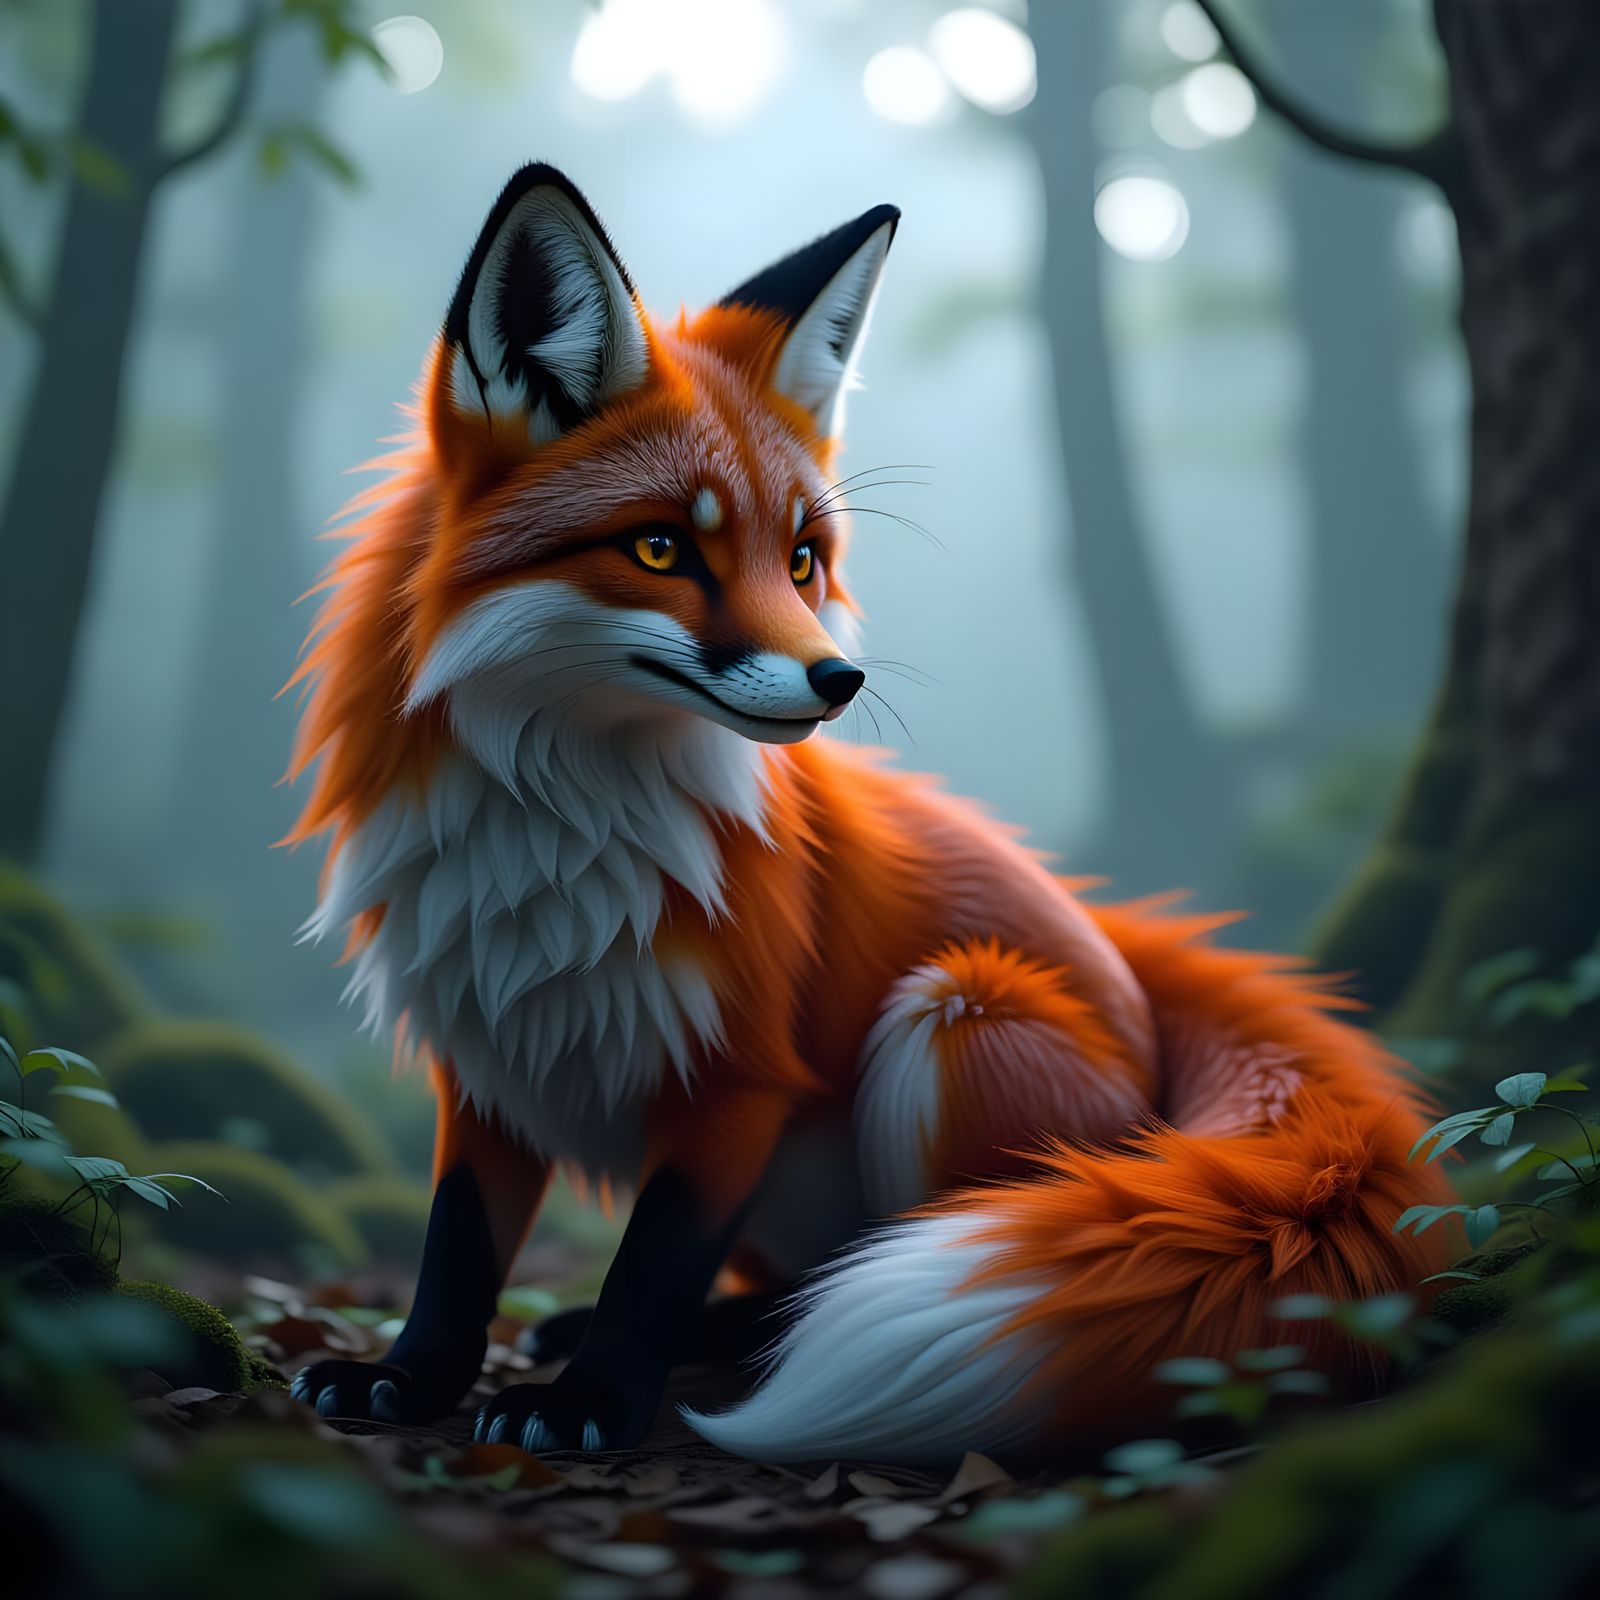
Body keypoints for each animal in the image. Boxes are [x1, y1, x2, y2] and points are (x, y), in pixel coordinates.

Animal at [286, 163, 1455, 1465]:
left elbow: (653, 1263)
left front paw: (591, 1401)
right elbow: (458, 1248)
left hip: (953, 1018)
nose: (838, 680)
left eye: (801, 559)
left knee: (881, 1258)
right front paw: (409, 1377)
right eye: (660, 549)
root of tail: (1130, 968)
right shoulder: (484, 1053)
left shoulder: (740, 1075)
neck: (554, 831)